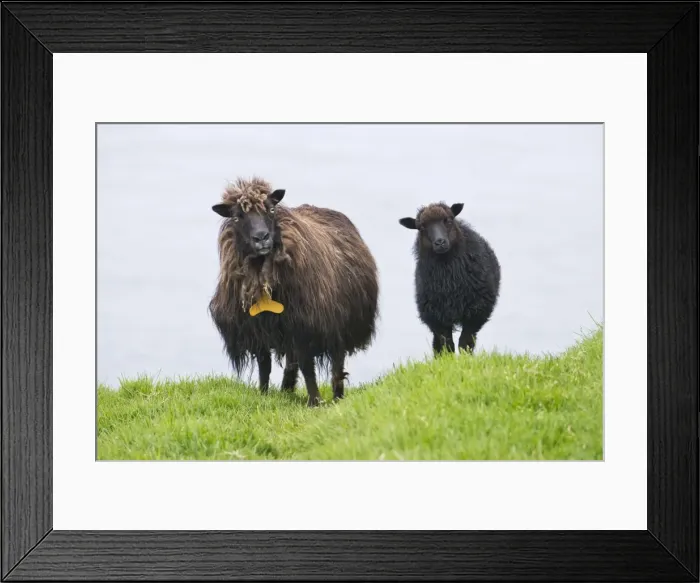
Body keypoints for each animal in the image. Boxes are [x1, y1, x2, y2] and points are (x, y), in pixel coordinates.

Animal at [209, 177, 379, 407]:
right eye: (237, 216)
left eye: (271, 209)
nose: (262, 238)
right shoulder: (258, 330)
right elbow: (265, 367)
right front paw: (263, 395)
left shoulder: (305, 327)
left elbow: (308, 368)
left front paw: (315, 402)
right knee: (292, 363)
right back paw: (286, 390)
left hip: (338, 324)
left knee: (337, 365)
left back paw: (337, 397)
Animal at [399, 202, 500, 355]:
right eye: (421, 227)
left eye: (448, 220)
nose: (440, 242)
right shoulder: (437, 316)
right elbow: (446, 344)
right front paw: (448, 358)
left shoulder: (475, 312)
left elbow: (465, 342)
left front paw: (465, 358)